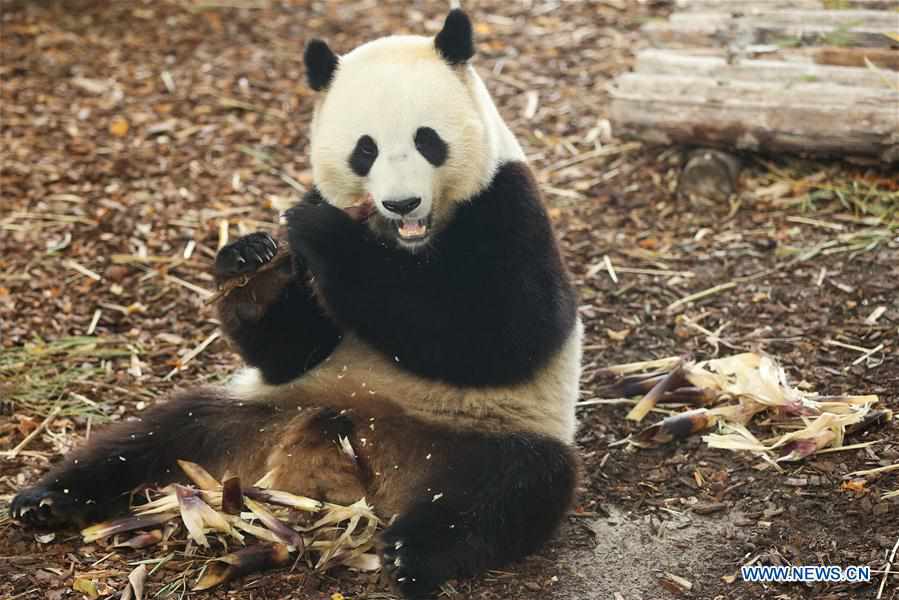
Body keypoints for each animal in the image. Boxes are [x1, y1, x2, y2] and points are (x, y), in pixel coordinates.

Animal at [10, 10, 584, 600]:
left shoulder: (507, 204)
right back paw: (46, 500)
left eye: (429, 141)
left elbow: (505, 336)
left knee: (506, 489)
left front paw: (329, 237)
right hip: (252, 415)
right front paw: (251, 265)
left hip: (484, 433)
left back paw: (413, 552)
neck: (404, 245)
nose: (402, 203)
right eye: (365, 149)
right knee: (154, 434)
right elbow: (289, 350)